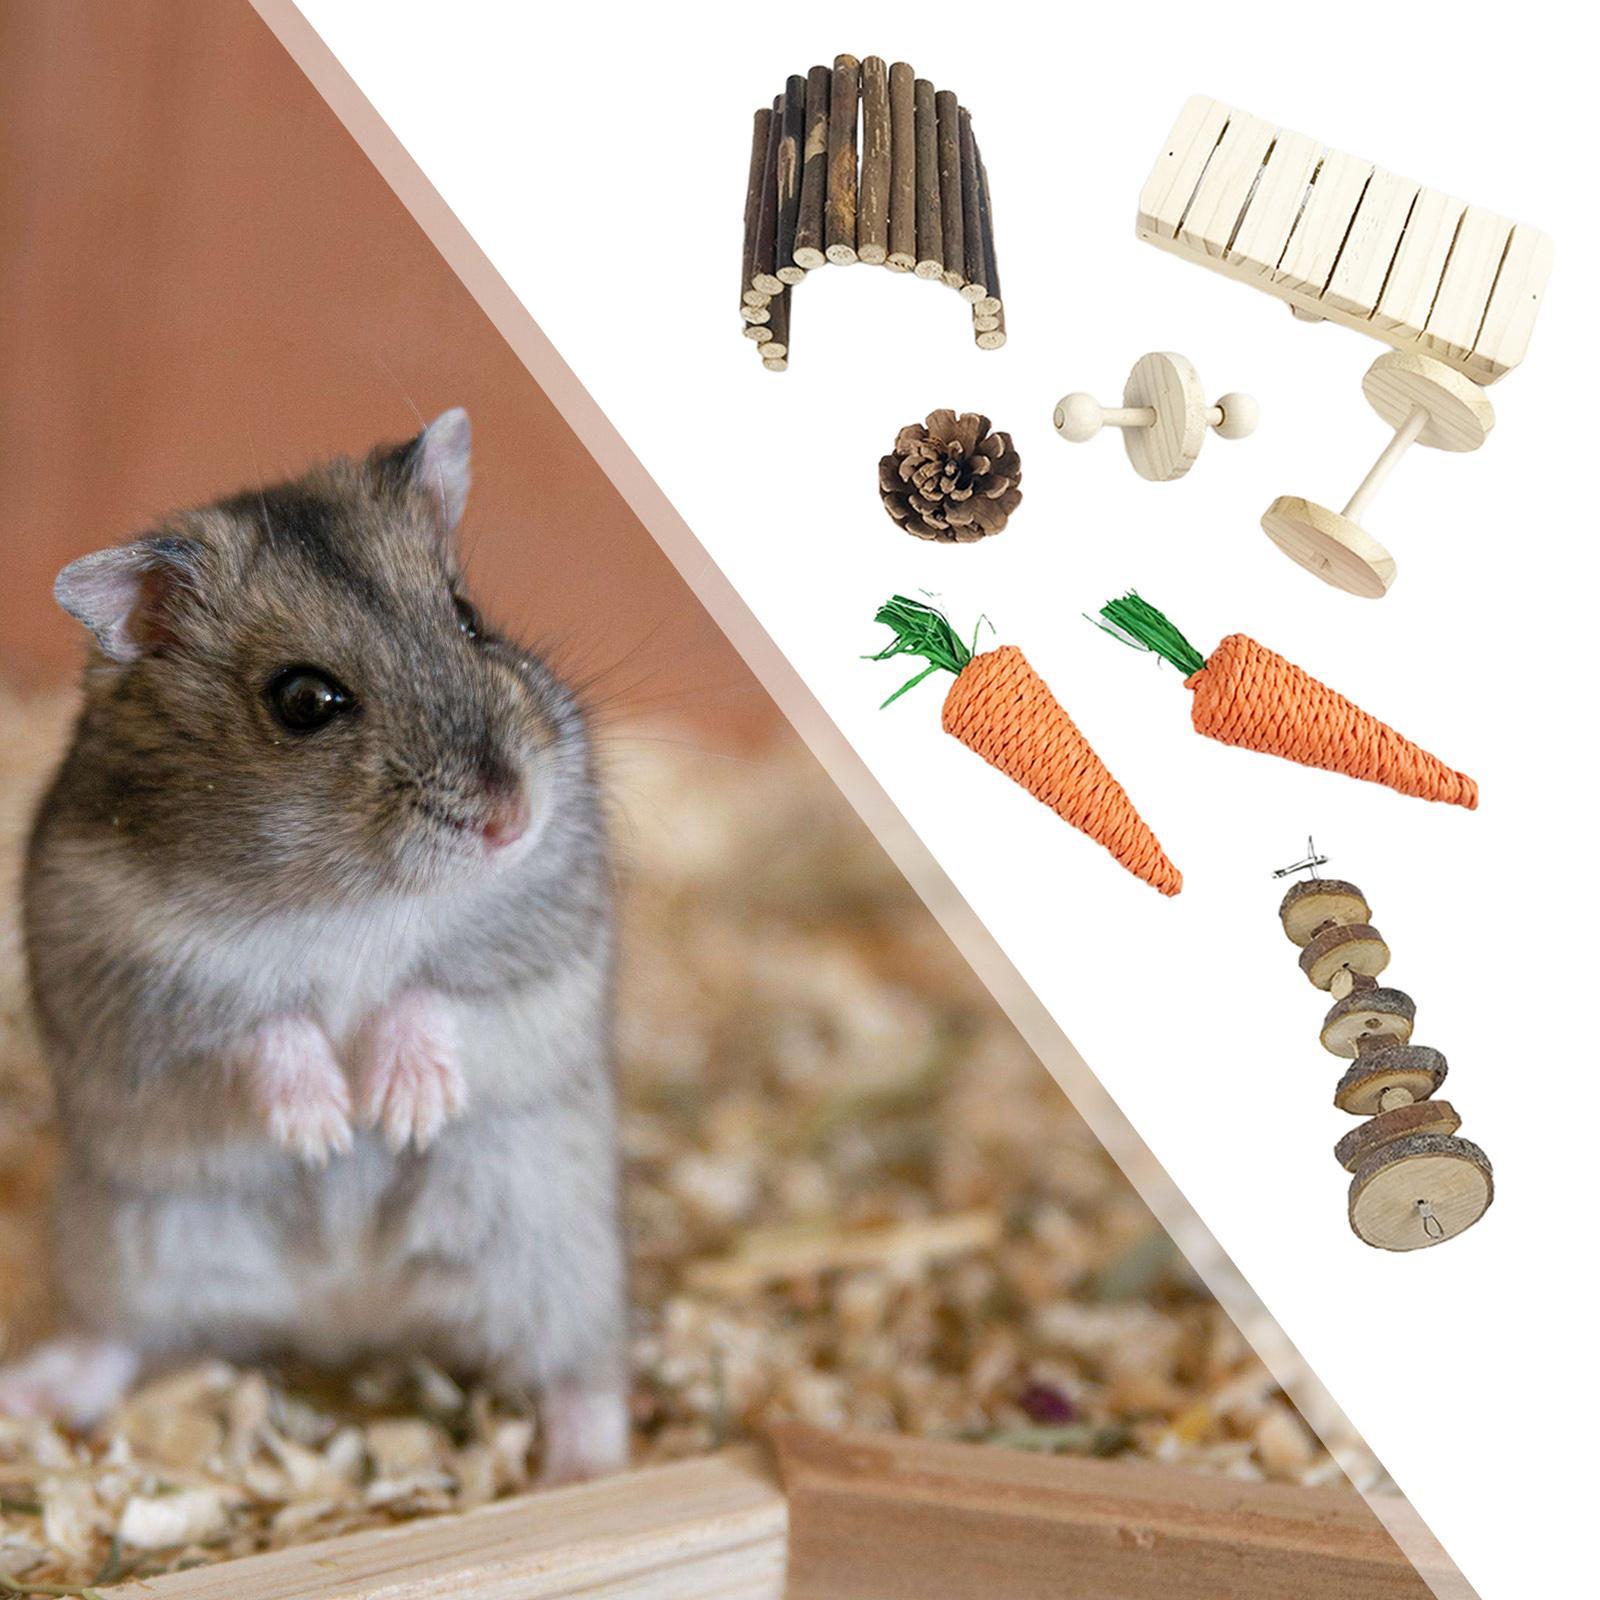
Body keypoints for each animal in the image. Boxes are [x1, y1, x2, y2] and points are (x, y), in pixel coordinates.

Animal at [0, 410, 629, 1484]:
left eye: (469, 617)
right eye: (303, 701)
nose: (512, 818)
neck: (349, 895)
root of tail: (346, 1314)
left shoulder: (541, 943)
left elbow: (433, 995)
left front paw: (402, 1113)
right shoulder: (136, 987)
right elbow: (263, 1028)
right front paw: (327, 1130)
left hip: (556, 1249)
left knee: (579, 1371)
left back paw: (584, 1470)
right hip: (124, 1245)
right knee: (114, 1341)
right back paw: (27, 1395)